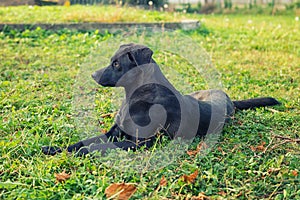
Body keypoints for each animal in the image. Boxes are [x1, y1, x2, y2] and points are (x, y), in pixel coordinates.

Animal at [42, 43, 282, 156]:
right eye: (111, 60)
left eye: (117, 64)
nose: (92, 75)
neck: (133, 96)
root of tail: (226, 97)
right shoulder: (114, 132)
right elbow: (85, 141)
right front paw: (54, 149)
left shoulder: (139, 142)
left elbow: (97, 147)